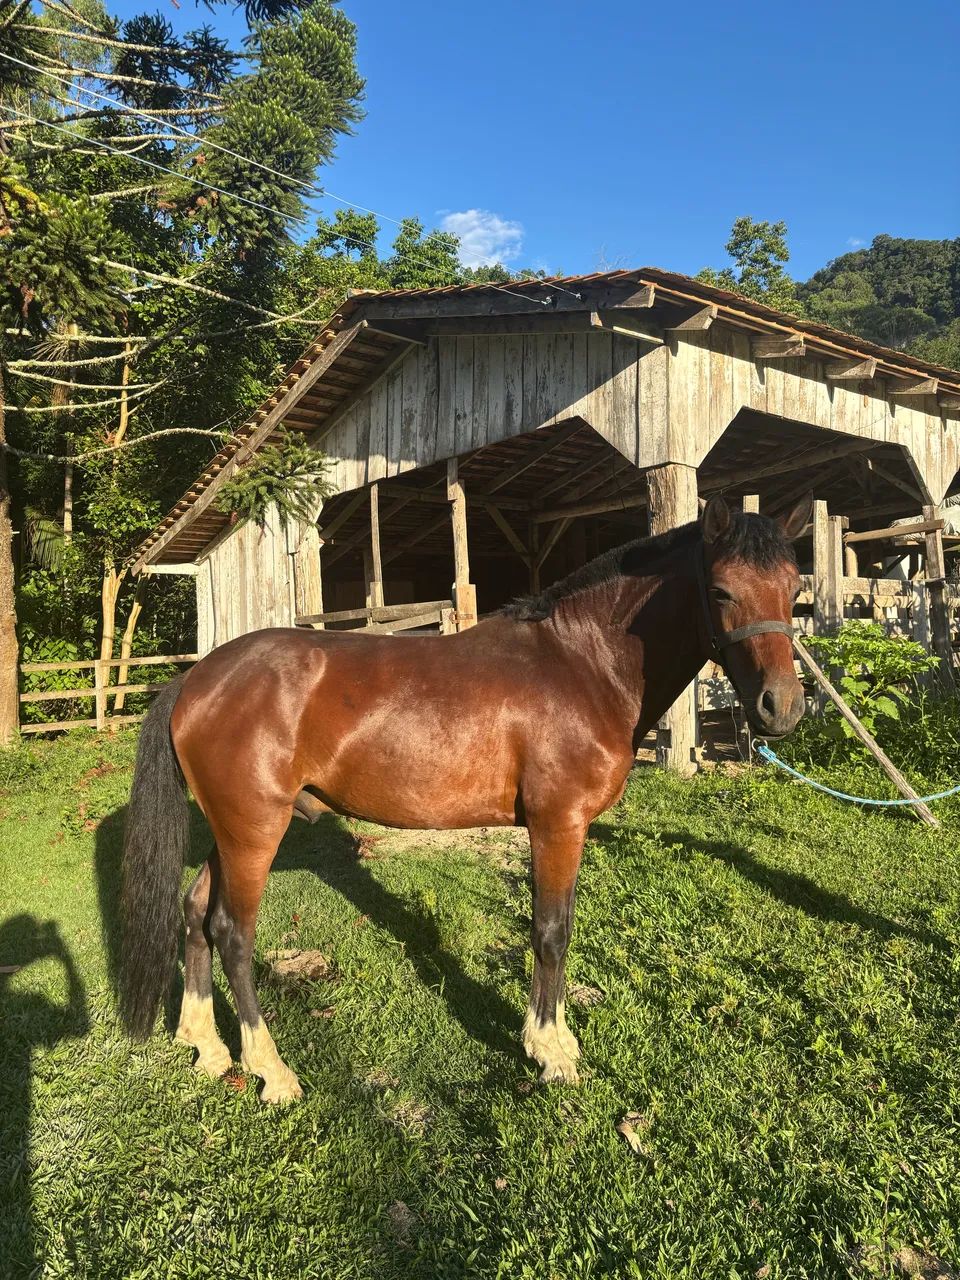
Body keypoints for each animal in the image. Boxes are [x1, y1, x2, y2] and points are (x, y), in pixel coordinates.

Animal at [119, 493, 811, 1102]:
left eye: (794, 589)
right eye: (721, 590)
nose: (781, 707)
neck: (581, 664)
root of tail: (197, 679)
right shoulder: (558, 824)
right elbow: (550, 930)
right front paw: (550, 1051)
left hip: (234, 832)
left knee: (195, 914)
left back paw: (207, 1047)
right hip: (255, 832)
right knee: (232, 934)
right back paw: (272, 1072)